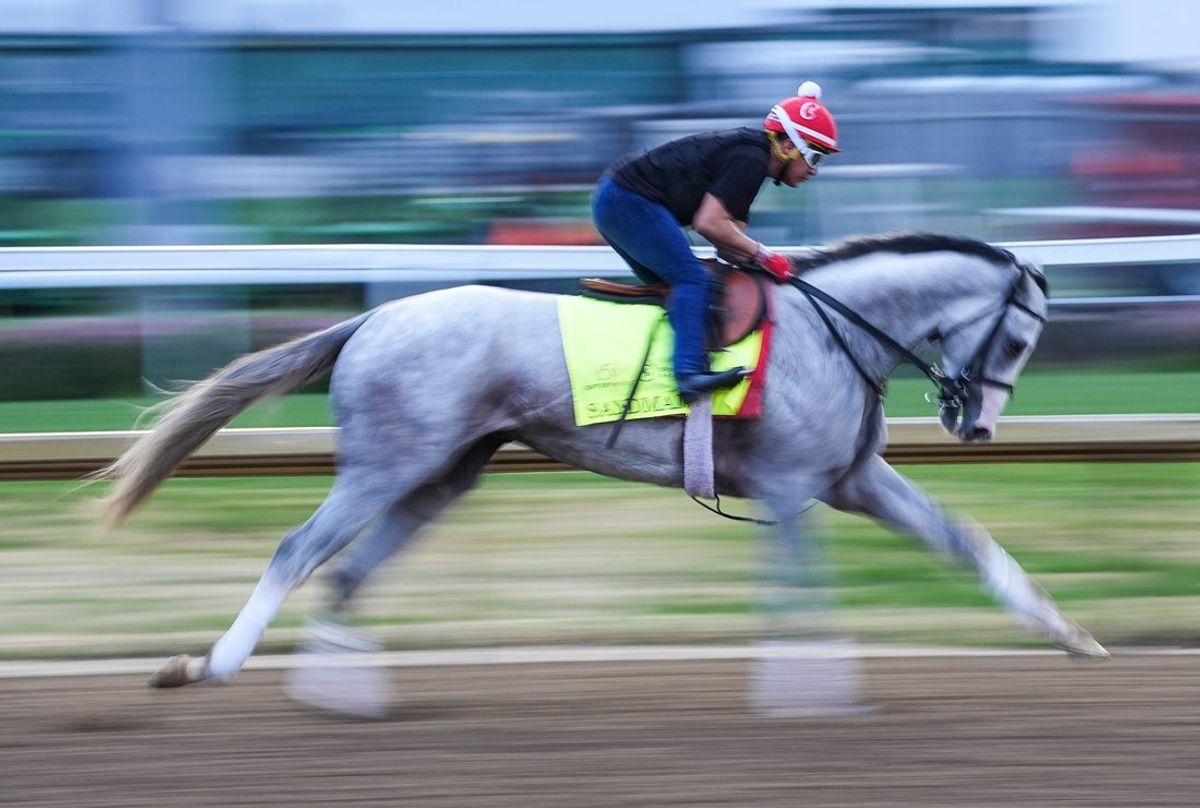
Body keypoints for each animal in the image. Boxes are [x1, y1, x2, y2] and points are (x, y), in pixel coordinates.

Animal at [95, 232, 1108, 689]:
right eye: (1021, 338)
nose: (975, 427)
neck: (835, 329)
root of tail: (372, 318)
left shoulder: (853, 481)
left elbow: (965, 543)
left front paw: (1074, 636)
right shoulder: (788, 489)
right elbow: (800, 592)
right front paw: (806, 687)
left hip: (445, 471)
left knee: (351, 573)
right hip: (386, 463)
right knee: (300, 552)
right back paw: (215, 664)